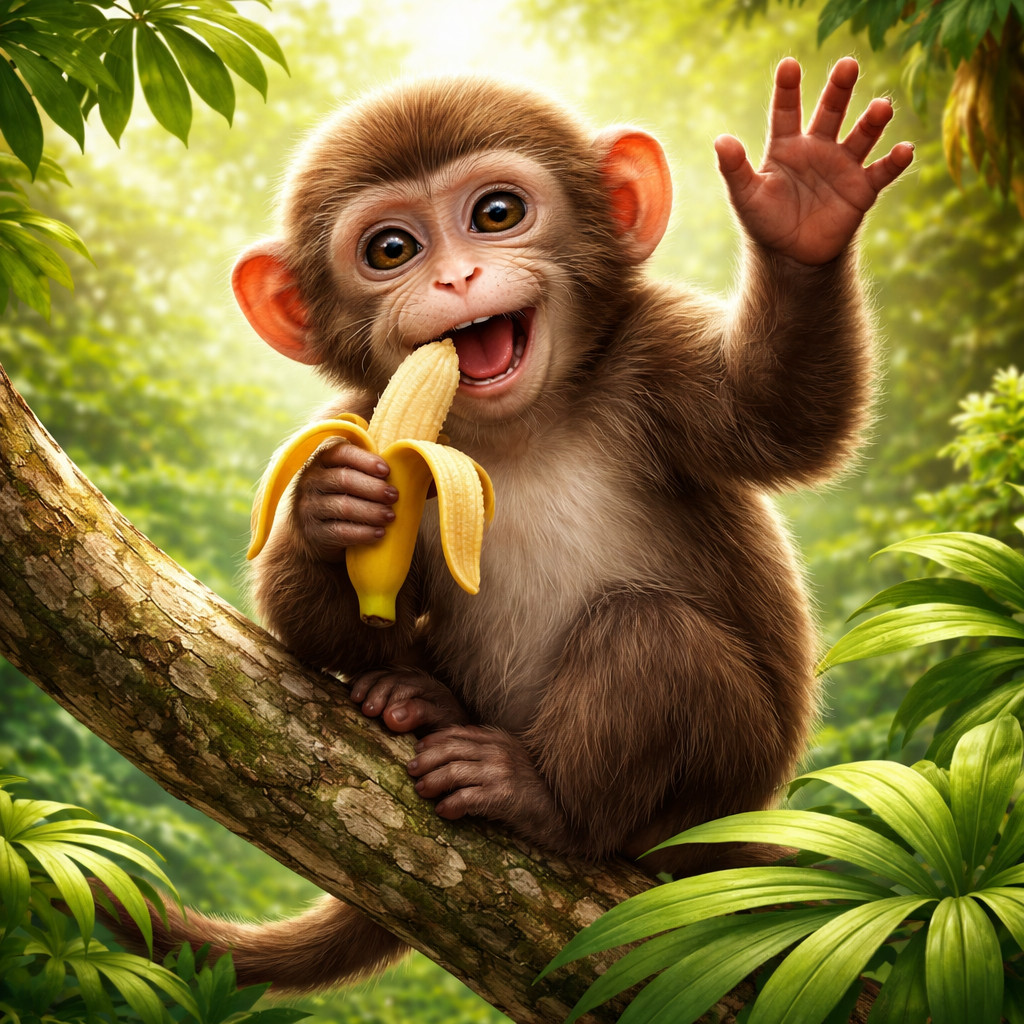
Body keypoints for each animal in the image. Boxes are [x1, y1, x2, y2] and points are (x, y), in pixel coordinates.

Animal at [107, 58, 913, 991]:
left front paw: (805, 203)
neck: (519, 429)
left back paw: (542, 800)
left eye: (496, 214)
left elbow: (781, 418)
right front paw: (330, 506)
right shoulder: (365, 410)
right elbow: (320, 638)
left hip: (715, 797)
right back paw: (417, 700)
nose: (455, 280)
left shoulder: (654, 354)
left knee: (650, 634)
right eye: (391, 250)